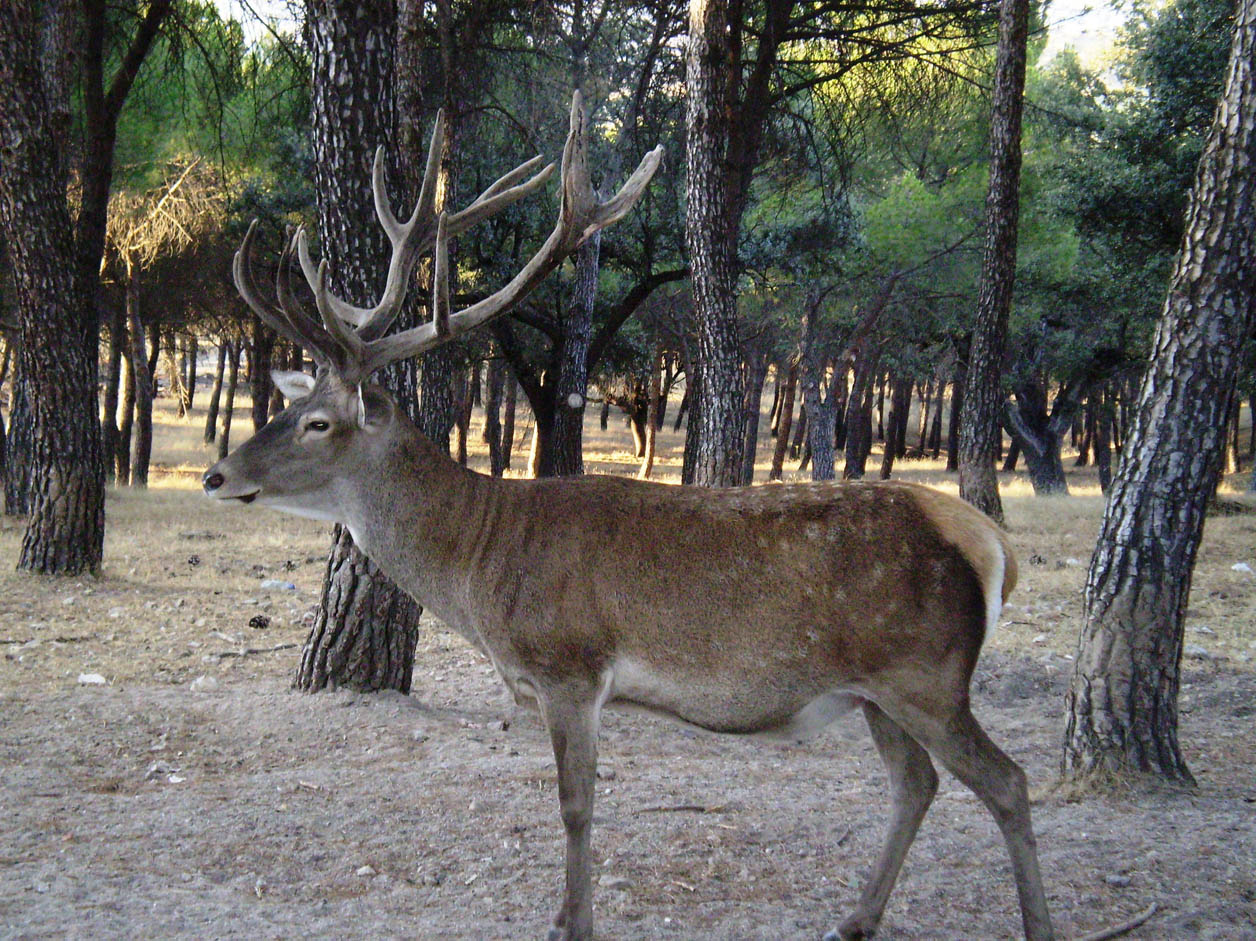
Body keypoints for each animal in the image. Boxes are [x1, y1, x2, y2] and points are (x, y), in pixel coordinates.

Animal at [200, 97, 1055, 939]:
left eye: (317, 423)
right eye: (288, 404)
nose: (216, 474)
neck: (481, 564)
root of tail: (993, 544)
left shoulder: (570, 665)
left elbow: (576, 805)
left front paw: (570, 923)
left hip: (926, 673)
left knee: (1008, 780)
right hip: (880, 689)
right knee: (917, 782)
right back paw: (854, 917)